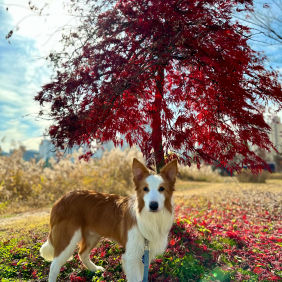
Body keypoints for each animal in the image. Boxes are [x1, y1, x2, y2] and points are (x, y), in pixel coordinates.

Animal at [40, 158, 176, 280]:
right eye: (145, 189)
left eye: (162, 189)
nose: (153, 205)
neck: (151, 217)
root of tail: (60, 200)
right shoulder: (131, 257)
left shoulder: (143, 255)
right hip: (68, 239)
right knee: (54, 265)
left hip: (92, 235)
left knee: (82, 254)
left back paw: (95, 269)